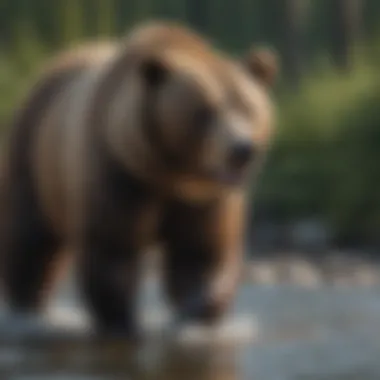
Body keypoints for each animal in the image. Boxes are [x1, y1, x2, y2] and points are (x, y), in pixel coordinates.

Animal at [0, 20, 280, 342]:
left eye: (248, 107)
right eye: (205, 111)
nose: (242, 150)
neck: (168, 173)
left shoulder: (206, 197)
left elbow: (202, 253)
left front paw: (198, 313)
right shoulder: (118, 173)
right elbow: (113, 251)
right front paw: (122, 323)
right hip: (36, 158)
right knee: (29, 240)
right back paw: (28, 308)